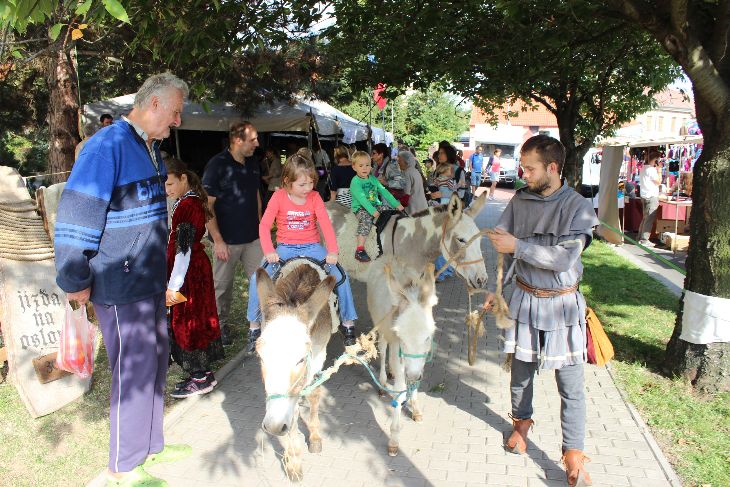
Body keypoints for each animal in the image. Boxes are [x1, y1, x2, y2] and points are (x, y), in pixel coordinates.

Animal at [254, 263, 337, 482]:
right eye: (261, 357)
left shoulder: (317, 354)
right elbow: (293, 413)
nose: (273, 426)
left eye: (301, 359)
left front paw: (315, 437)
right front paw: (293, 462)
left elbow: (314, 393)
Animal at [368, 262, 438, 456]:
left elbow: (415, 382)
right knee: (383, 349)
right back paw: (383, 382)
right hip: (381, 326)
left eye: (428, 337)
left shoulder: (421, 360)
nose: (412, 375)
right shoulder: (396, 347)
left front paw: (415, 408)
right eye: (402, 338)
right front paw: (394, 438)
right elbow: (399, 393)